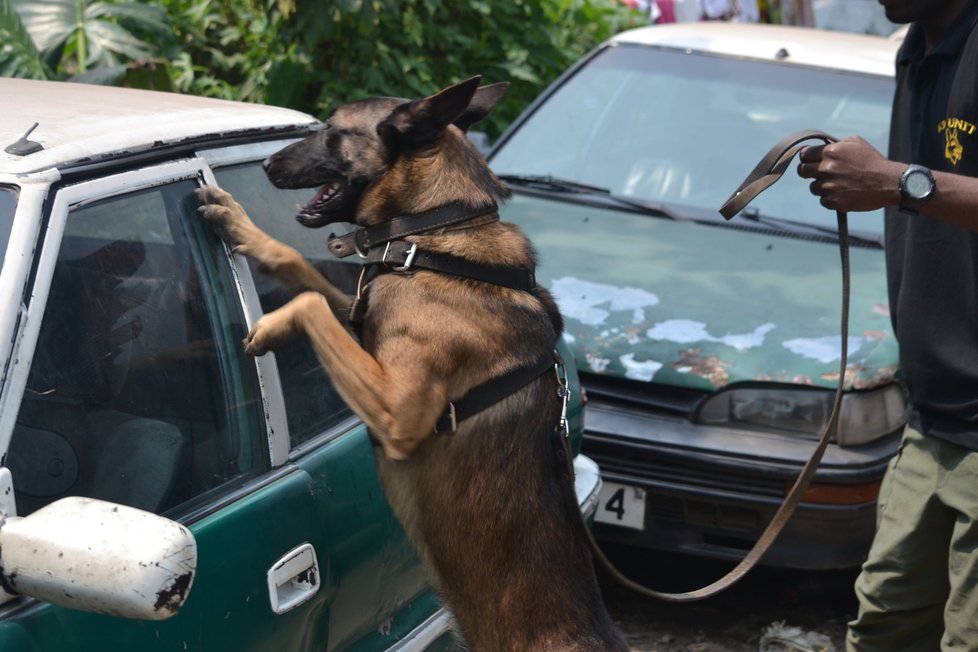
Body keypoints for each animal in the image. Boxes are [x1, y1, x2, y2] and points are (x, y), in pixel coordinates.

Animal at [195, 77, 628, 652]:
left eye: (332, 132)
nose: (266, 164)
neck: (435, 234)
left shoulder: (397, 410)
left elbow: (309, 304)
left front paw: (270, 327)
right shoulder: (357, 317)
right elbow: (300, 267)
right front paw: (238, 222)